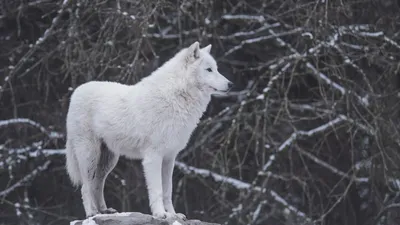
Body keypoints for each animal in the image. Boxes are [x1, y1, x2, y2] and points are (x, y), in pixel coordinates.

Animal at [64, 41, 233, 220]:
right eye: (209, 69)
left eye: (216, 69)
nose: (231, 84)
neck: (176, 97)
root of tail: (77, 91)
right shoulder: (153, 157)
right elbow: (157, 190)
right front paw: (160, 214)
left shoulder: (169, 158)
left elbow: (167, 191)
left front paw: (174, 215)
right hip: (89, 156)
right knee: (85, 186)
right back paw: (92, 213)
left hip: (108, 160)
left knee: (97, 184)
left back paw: (105, 211)